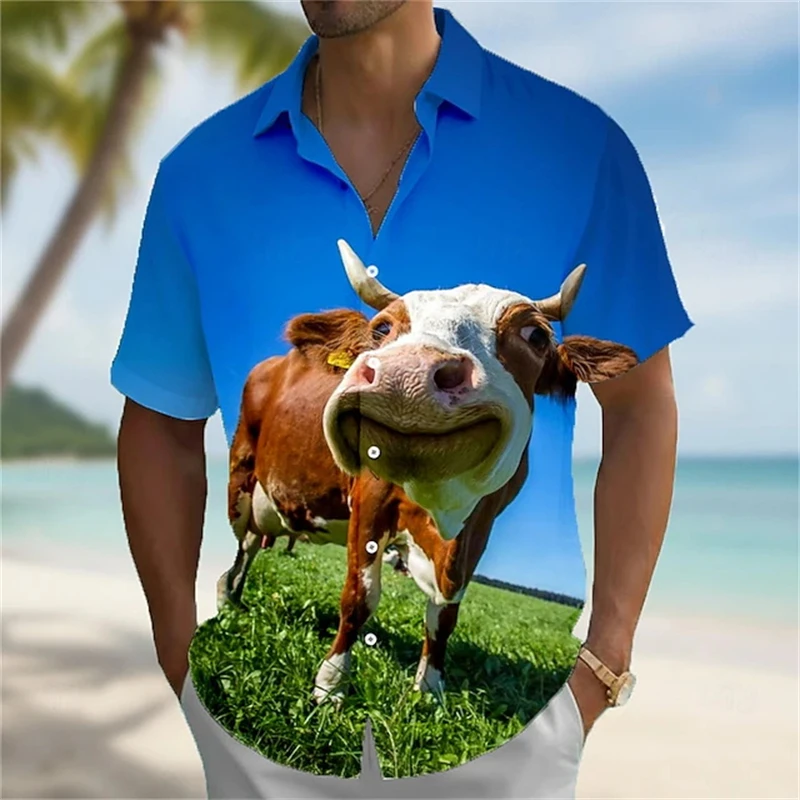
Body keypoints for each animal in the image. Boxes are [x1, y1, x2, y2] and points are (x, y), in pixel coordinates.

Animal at [218, 239, 638, 705]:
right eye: (382, 329)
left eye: (537, 336)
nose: (407, 374)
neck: (441, 505)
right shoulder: (370, 499)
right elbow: (360, 596)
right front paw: (330, 684)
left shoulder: (480, 524)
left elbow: (445, 612)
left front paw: (429, 688)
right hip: (242, 477)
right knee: (243, 545)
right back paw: (225, 599)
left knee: (254, 544)